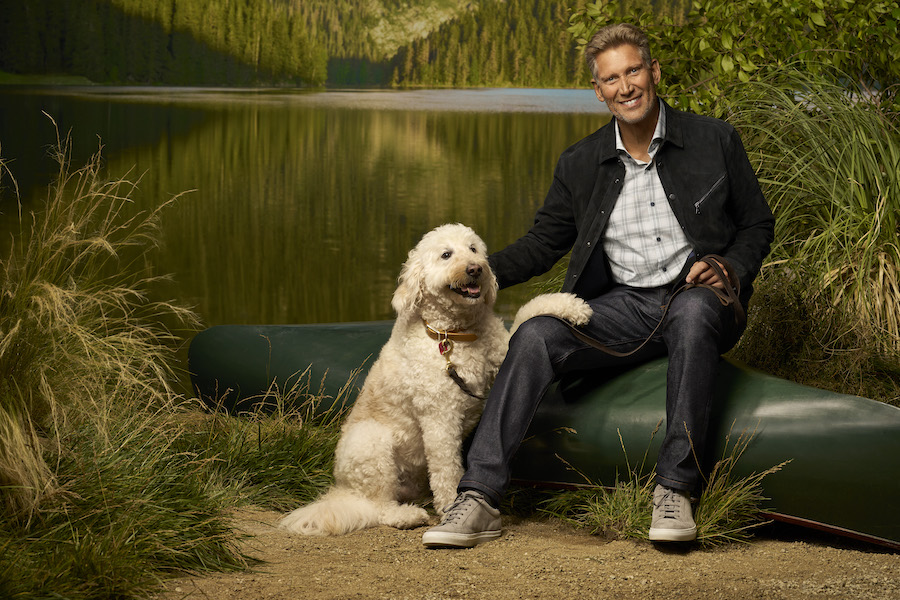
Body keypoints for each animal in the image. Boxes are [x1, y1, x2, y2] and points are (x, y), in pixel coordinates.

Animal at [280, 221, 592, 536]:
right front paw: (451, 505)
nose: (475, 269)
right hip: (370, 444)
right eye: (446, 254)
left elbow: (528, 312)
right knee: (379, 506)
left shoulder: (505, 352)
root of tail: (344, 489)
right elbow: (446, 468)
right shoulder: (439, 418)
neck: (455, 334)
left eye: (473, 249)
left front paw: (571, 306)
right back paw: (406, 516)